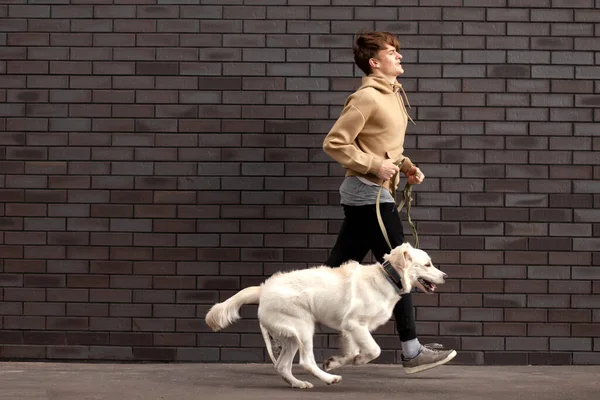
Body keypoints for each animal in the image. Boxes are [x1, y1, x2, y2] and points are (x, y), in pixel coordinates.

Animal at [205, 242, 446, 390]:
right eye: (427, 264)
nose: (445, 276)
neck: (388, 277)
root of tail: (262, 289)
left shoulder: (348, 328)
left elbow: (351, 352)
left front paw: (336, 362)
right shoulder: (355, 324)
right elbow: (374, 350)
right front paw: (357, 361)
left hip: (290, 337)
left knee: (282, 365)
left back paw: (299, 383)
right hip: (303, 327)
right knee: (306, 361)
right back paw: (329, 379)